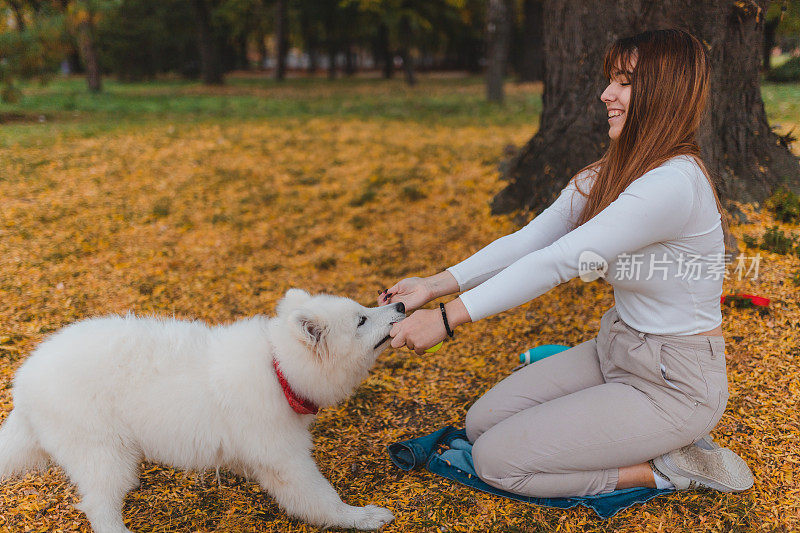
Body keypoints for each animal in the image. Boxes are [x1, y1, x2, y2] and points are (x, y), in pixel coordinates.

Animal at [0, 290, 404, 532]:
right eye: (361, 320)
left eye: (364, 309)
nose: (400, 305)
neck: (277, 368)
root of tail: (23, 384)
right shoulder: (284, 458)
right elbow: (320, 499)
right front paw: (362, 517)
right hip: (101, 450)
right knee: (99, 506)